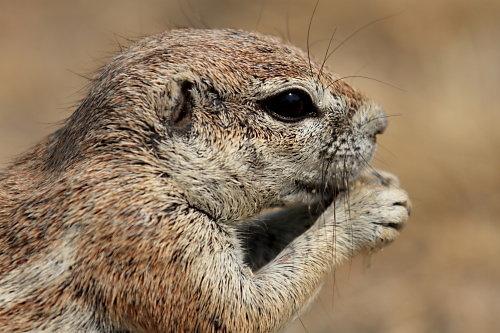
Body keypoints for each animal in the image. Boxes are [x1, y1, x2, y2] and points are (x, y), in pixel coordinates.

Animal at [0, 29, 410, 332]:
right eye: (292, 103)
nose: (380, 123)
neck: (149, 167)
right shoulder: (156, 241)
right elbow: (246, 312)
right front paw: (365, 208)